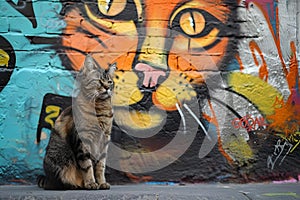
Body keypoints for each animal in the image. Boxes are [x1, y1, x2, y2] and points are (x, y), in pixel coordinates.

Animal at [37, 55, 116, 191]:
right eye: (99, 81)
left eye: (110, 82)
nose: (107, 88)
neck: (100, 109)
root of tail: (47, 179)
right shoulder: (82, 141)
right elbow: (87, 166)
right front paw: (91, 183)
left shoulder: (104, 140)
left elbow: (100, 167)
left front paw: (102, 183)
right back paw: (75, 185)